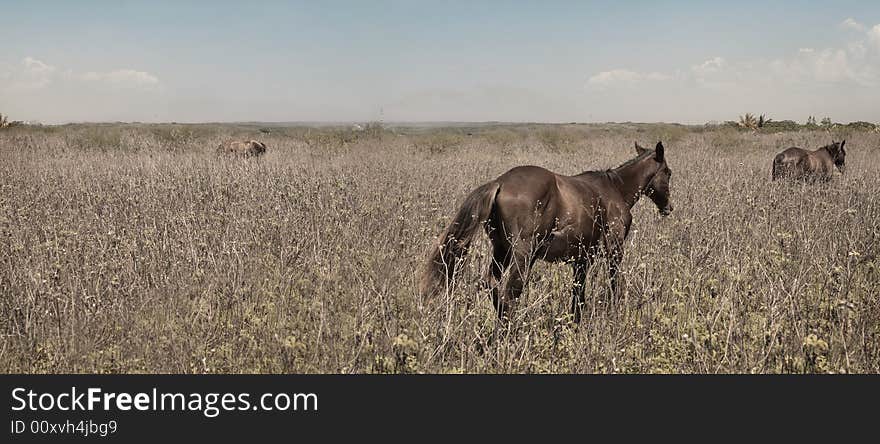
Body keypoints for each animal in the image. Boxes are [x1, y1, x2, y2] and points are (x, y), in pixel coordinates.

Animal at [420, 141, 672, 322]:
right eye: (668, 172)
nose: (668, 208)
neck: (615, 189)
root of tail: (500, 183)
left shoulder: (582, 258)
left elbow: (578, 296)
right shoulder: (614, 250)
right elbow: (613, 284)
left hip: (502, 251)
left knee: (492, 284)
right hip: (522, 256)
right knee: (511, 293)